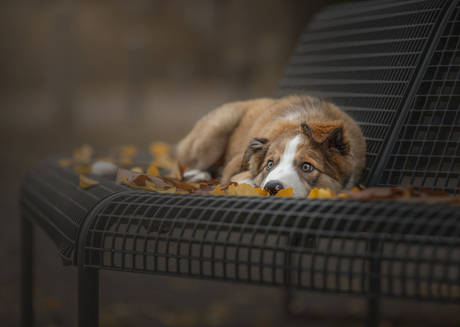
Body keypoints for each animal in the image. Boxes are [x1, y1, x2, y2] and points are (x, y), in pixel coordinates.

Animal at [176, 95, 366, 197]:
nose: (272, 188)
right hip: (216, 130)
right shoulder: (236, 173)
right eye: (269, 164)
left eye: (307, 166)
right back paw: (197, 174)